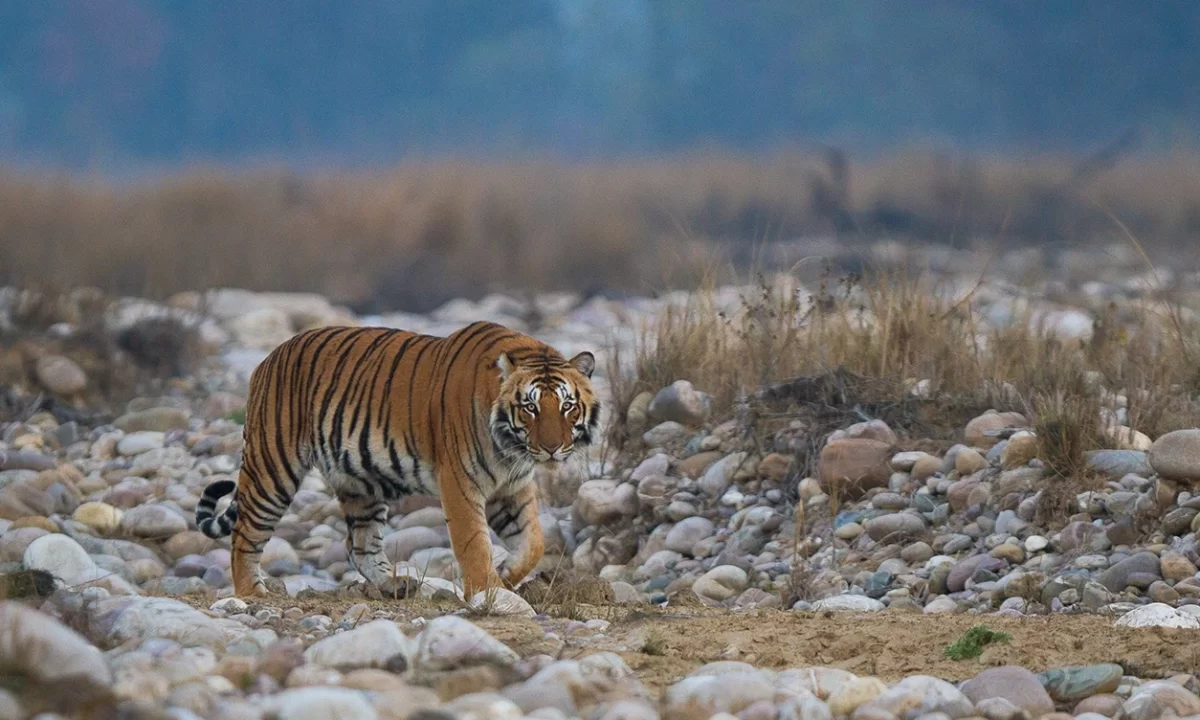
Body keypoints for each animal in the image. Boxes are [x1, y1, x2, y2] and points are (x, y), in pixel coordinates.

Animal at [195, 321, 600, 595]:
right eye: (530, 408)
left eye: (566, 406)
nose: (551, 448)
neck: (511, 449)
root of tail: (267, 359)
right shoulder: (459, 482)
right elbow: (472, 541)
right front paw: (489, 591)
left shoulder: (512, 487)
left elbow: (533, 542)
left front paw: (506, 574)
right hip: (273, 468)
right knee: (244, 534)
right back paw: (251, 593)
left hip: (360, 483)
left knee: (359, 545)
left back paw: (393, 586)